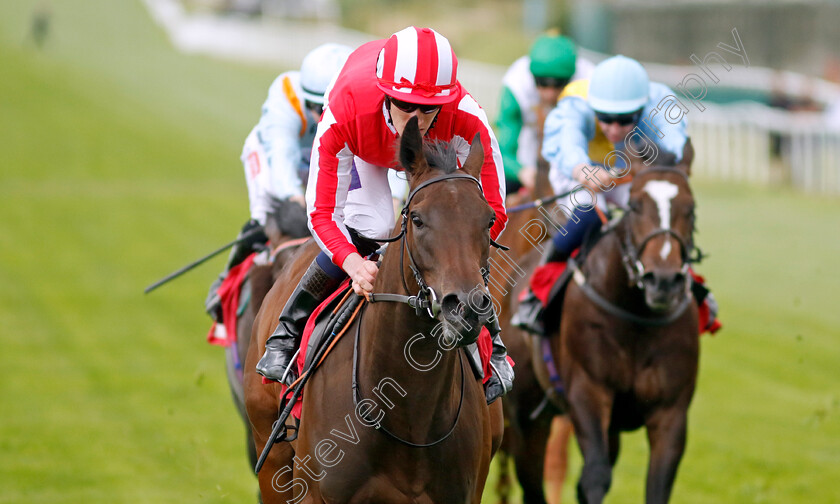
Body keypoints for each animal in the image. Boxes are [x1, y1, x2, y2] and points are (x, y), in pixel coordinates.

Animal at [552, 156, 704, 502]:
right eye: (634, 206)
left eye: (691, 209)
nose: (663, 281)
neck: (636, 318)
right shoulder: (587, 388)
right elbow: (595, 477)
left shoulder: (671, 410)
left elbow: (657, 487)